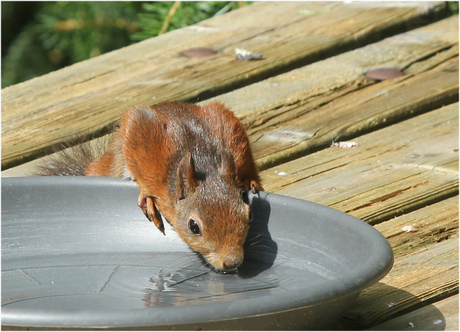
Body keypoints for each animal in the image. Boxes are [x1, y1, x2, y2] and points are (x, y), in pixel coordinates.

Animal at [39, 102, 262, 272]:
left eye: (249, 215)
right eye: (194, 227)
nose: (232, 262)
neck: (203, 163)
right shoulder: (141, 132)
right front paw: (148, 200)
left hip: (228, 124)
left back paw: (251, 181)